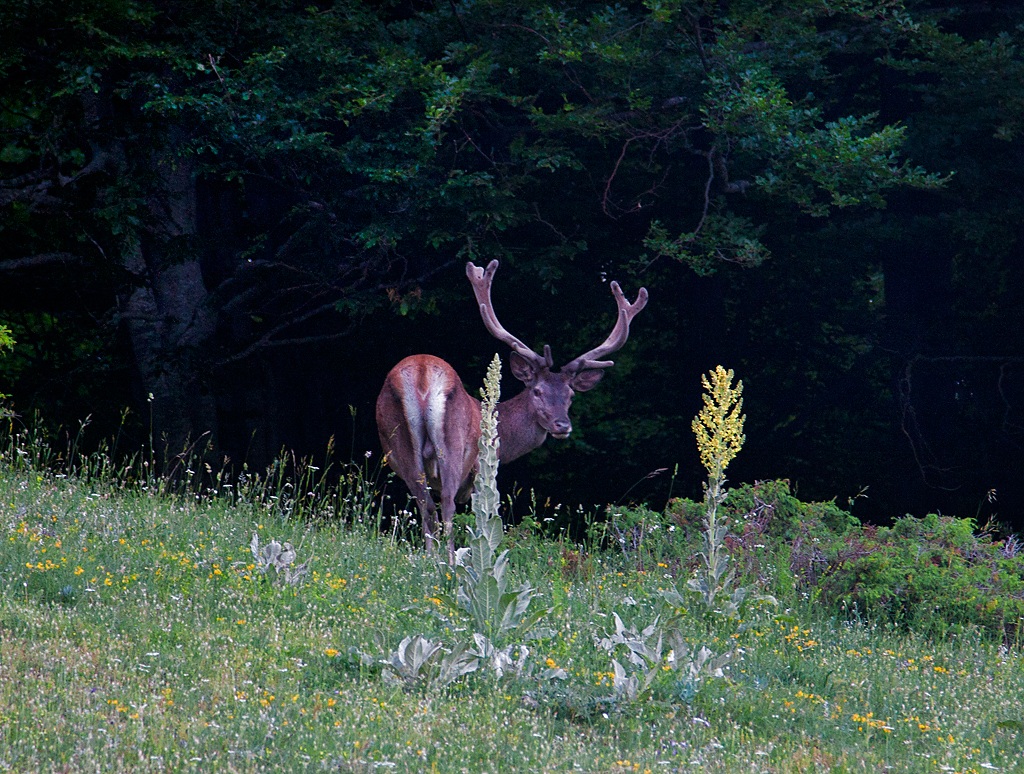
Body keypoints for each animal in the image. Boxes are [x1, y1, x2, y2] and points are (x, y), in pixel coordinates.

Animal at [376, 259, 648, 563]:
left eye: (571, 395)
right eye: (537, 391)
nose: (562, 425)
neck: (502, 436)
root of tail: (422, 374)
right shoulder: (484, 469)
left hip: (400, 448)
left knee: (426, 505)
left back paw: (430, 558)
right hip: (454, 446)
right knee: (445, 503)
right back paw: (449, 561)